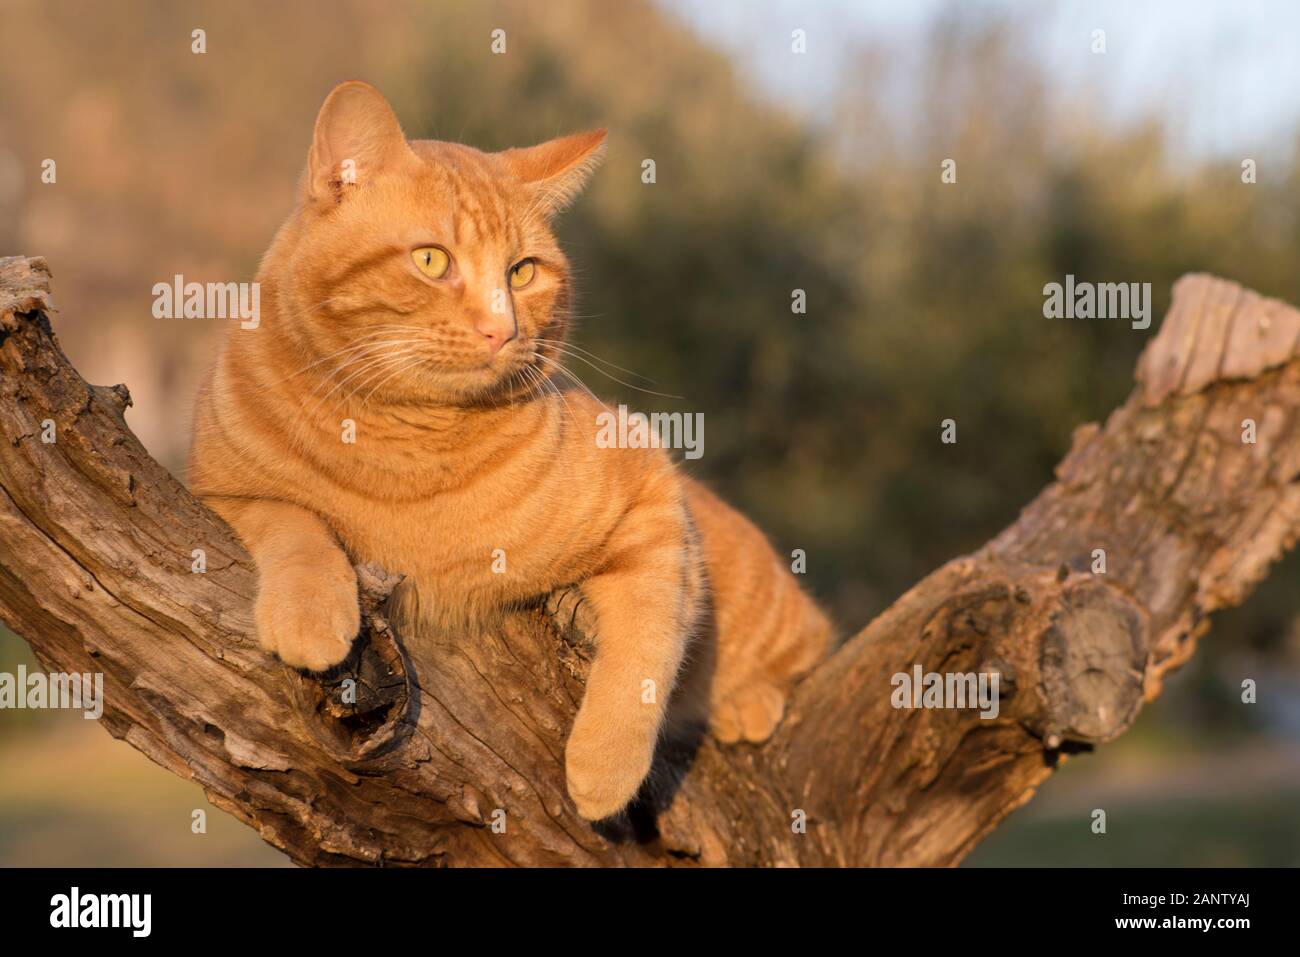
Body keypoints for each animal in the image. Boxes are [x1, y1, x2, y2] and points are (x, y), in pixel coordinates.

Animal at [188, 82, 826, 816]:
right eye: (432, 260)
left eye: (522, 272)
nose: (502, 328)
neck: (407, 449)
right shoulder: (216, 486)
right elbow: (293, 521)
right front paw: (310, 611)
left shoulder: (653, 493)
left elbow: (647, 639)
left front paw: (605, 765)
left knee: (812, 645)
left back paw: (746, 702)